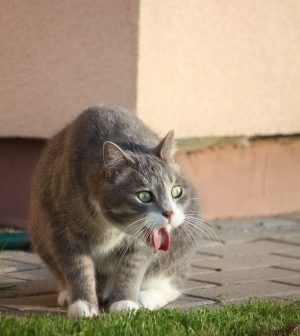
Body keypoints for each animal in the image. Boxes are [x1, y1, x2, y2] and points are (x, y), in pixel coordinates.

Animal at [28, 105, 202, 318]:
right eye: (144, 196)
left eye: (176, 191)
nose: (169, 213)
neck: (110, 226)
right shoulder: (63, 228)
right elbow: (78, 267)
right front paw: (83, 304)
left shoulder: (143, 238)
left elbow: (132, 267)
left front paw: (125, 302)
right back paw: (68, 293)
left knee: (170, 281)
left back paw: (145, 297)